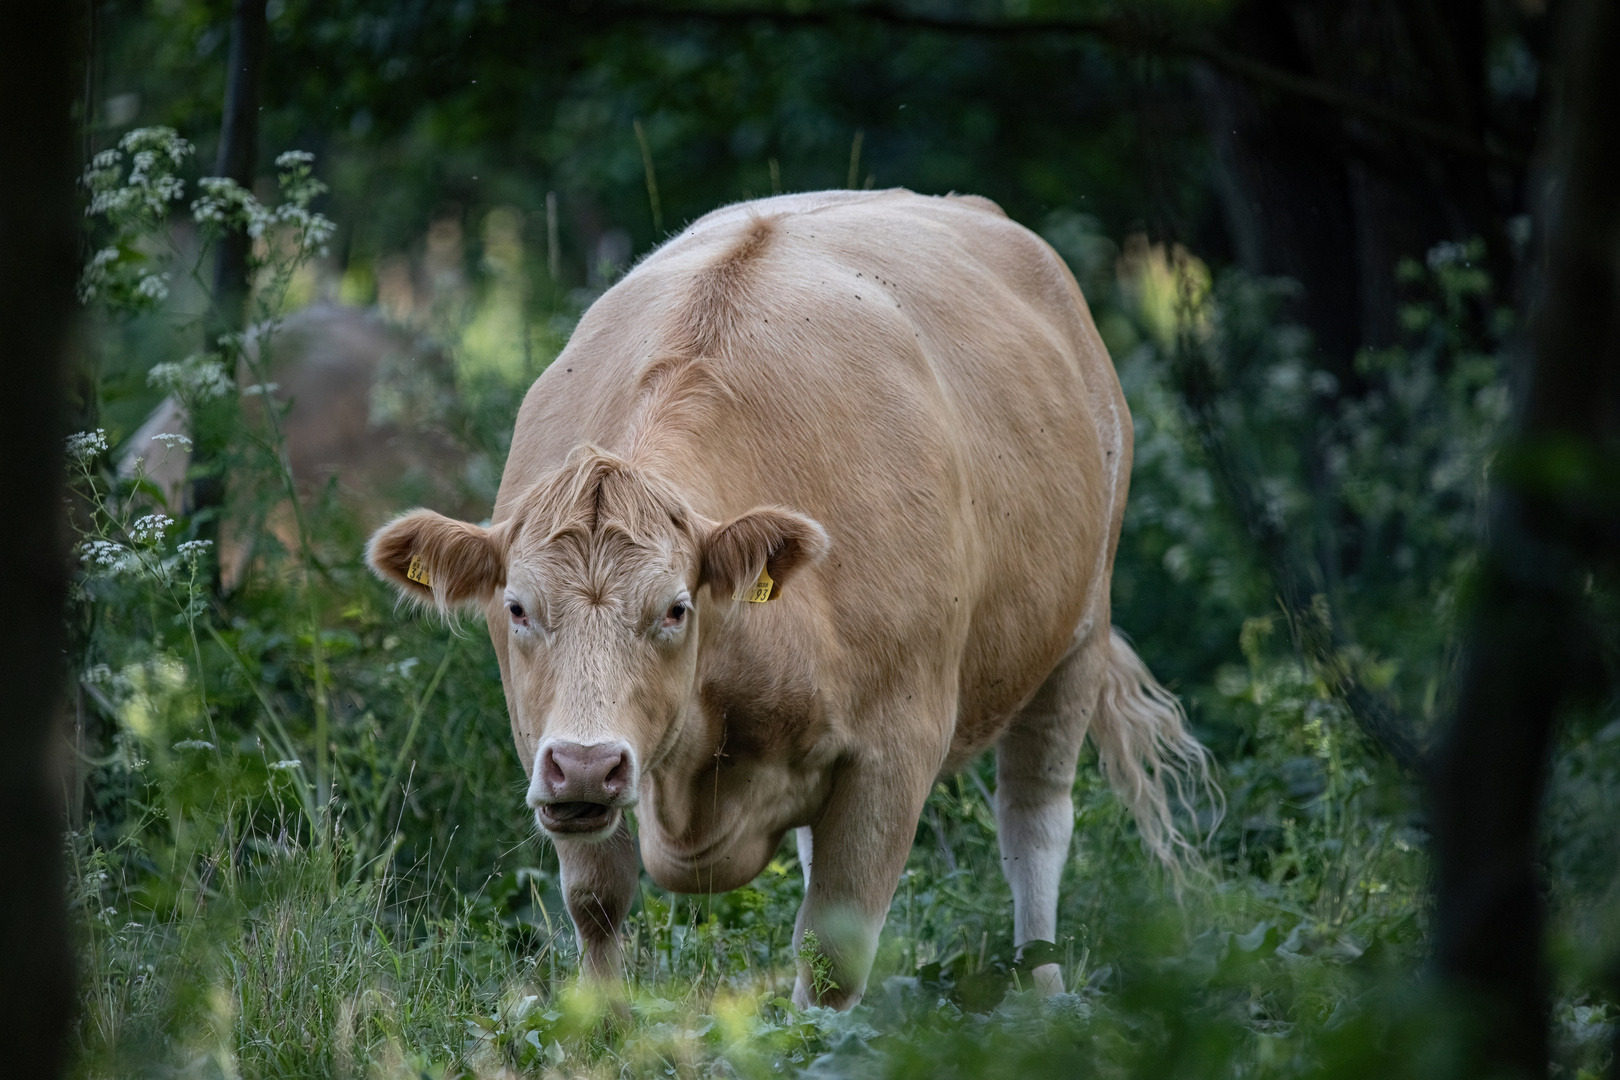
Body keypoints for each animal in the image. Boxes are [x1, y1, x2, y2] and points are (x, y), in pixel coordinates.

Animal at [364, 190, 1205, 1010]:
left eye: (675, 609)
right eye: (517, 608)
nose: (587, 765)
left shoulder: (895, 753)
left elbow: (835, 958)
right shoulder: (541, 740)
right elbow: (597, 906)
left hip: (1077, 638)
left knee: (1035, 824)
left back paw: (1043, 990)